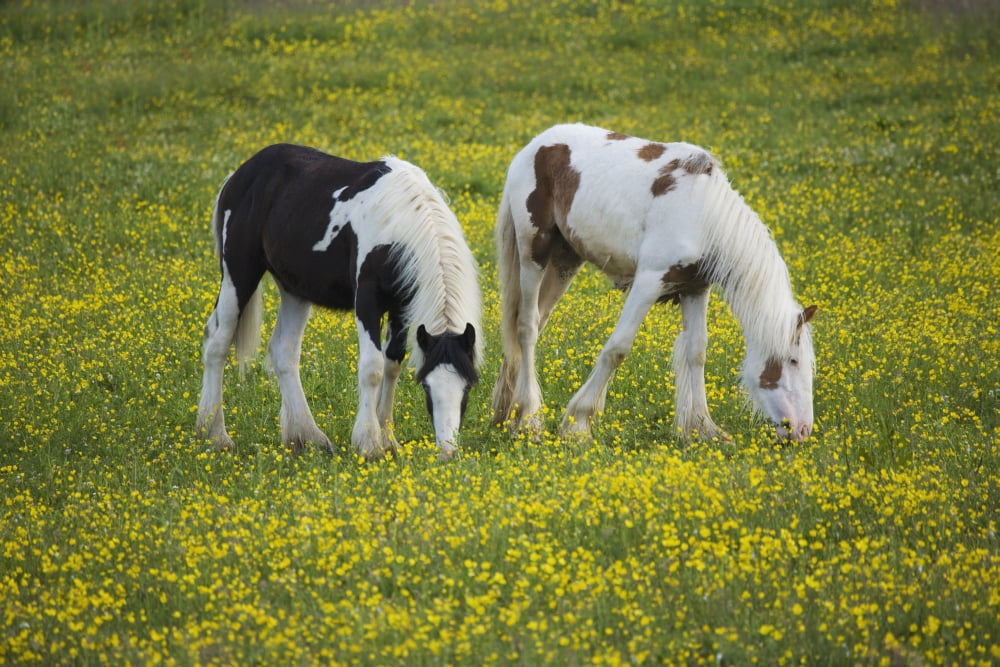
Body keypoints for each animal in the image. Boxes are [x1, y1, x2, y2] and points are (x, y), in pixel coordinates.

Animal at [197, 144, 482, 461]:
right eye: (428, 387)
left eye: (467, 386)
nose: (447, 452)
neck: (400, 225)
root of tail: (240, 174)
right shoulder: (368, 302)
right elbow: (372, 368)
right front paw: (369, 443)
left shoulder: (401, 308)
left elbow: (392, 364)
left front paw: (388, 440)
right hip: (238, 274)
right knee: (217, 344)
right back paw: (216, 435)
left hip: (295, 290)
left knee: (284, 352)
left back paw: (307, 437)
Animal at [491, 123, 817, 443]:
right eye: (793, 361)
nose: (802, 430)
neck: (704, 214)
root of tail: (535, 145)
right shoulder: (648, 282)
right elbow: (617, 348)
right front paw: (579, 424)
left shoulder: (695, 289)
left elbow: (697, 352)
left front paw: (704, 428)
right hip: (534, 253)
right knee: (527, 326)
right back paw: (528, 419)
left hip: (565, 260)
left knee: (535, 322)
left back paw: (507, 413)